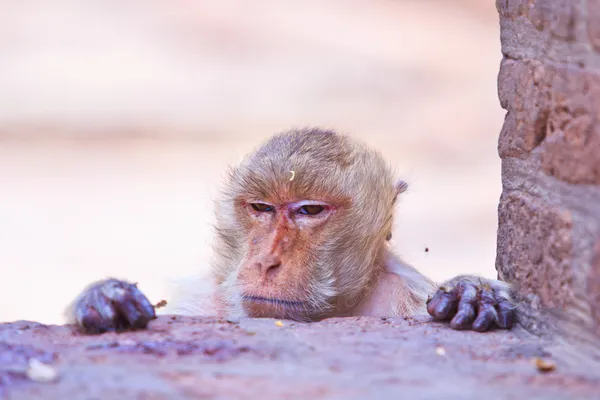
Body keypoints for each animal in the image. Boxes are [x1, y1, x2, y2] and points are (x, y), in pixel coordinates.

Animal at [67, 128, 516, 334]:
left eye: (310, 210)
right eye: (261, 208)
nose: (267, 261)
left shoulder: (407, 294)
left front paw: (472, 292)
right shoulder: (206, 299)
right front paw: (105, 298)